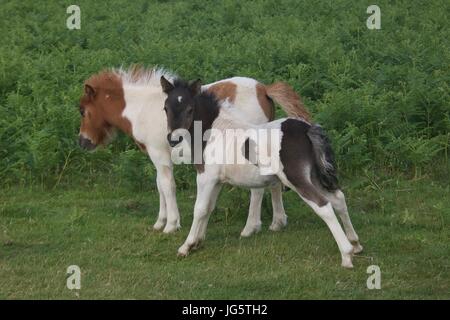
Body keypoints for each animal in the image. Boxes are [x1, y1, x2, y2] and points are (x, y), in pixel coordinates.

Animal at [78, 66, 310, 234]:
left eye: (83, 111)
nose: (82, 142)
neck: (143, 109)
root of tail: (263, 89)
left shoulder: (160, 155)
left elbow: (167, 186)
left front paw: (171, 225)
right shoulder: (158, 157)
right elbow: (159, 185)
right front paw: (160, 222)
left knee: (258, 189)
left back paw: (250, 227)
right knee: (274, 184)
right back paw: (277, 222)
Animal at [162, 75, 362, 268]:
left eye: (189, 109)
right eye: (166, 108)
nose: (173, 139)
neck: (213, 131)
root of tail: (307, 129)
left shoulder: (205, 177)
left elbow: (200, 209)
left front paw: (186, 246)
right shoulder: (217, 181)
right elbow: (209, 208)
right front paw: (198, 242)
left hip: (296, 179)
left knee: (324, 205)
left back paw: (346, 255)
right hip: (313, 176)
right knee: (338, 199)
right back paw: (355, 244)